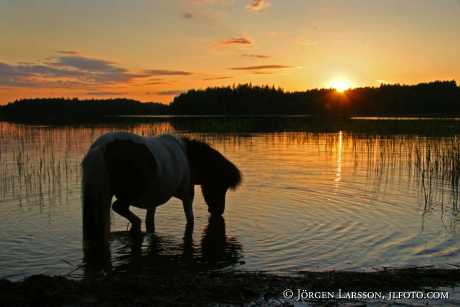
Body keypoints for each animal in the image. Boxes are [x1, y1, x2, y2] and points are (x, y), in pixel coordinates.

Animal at [81, 131, 243, 247]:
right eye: (221, 185)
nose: (218, 211)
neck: (188, 158)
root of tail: (102, 147)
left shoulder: (153, 201)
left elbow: (150, 220)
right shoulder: (187, 195)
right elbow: (190, 218)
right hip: (128, 194)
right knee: (119, 207)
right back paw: (136, 225)